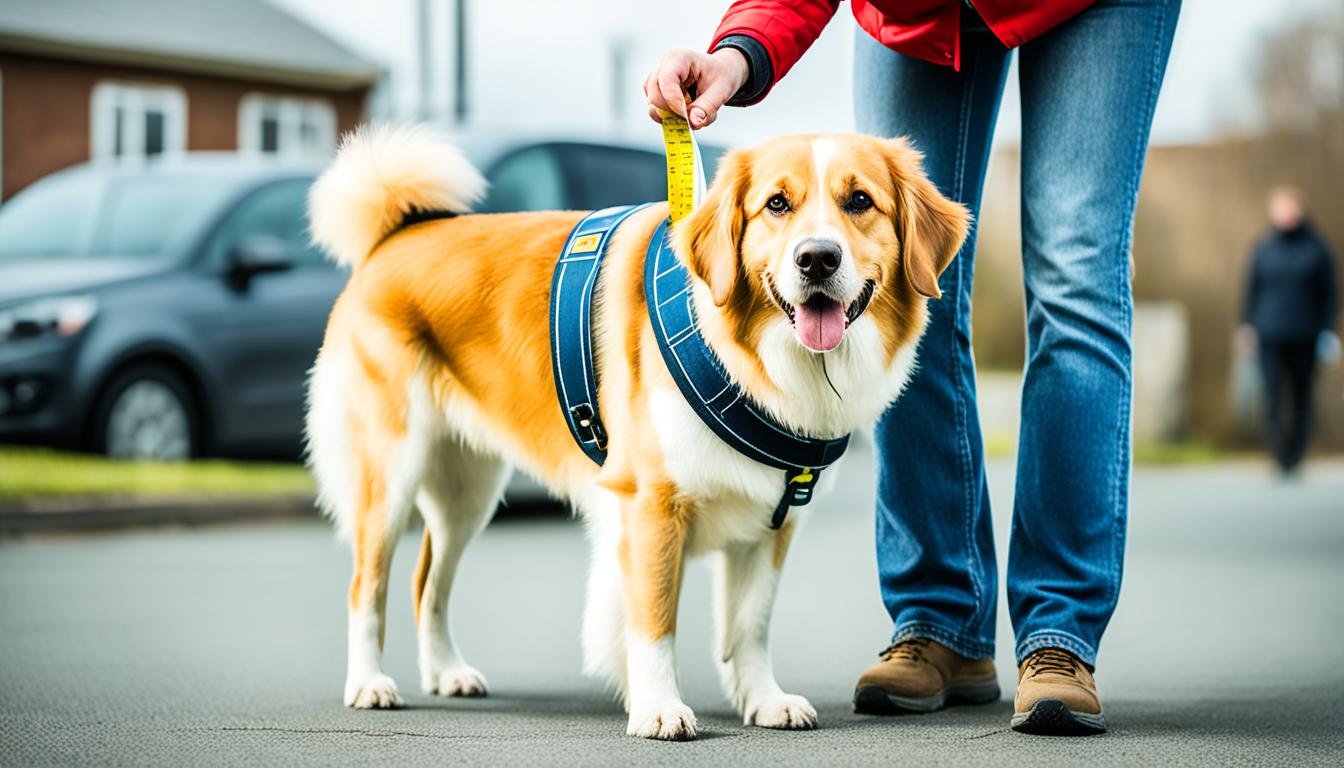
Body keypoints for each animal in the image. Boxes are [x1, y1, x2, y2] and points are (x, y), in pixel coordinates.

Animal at [305, 124, 967, 737]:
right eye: (777, 204)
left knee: (428, 584)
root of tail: (397, 235)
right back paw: (368, 683)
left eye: (860, 201)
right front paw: (658, 708)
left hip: (468, 494)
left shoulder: (771, 522)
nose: (817, 259)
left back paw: (446, 671)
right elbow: (654, 622)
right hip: (391, 474)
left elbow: (750, 625)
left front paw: (763, 699)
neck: (752, 361)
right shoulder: (650, 506)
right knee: (366, 585)